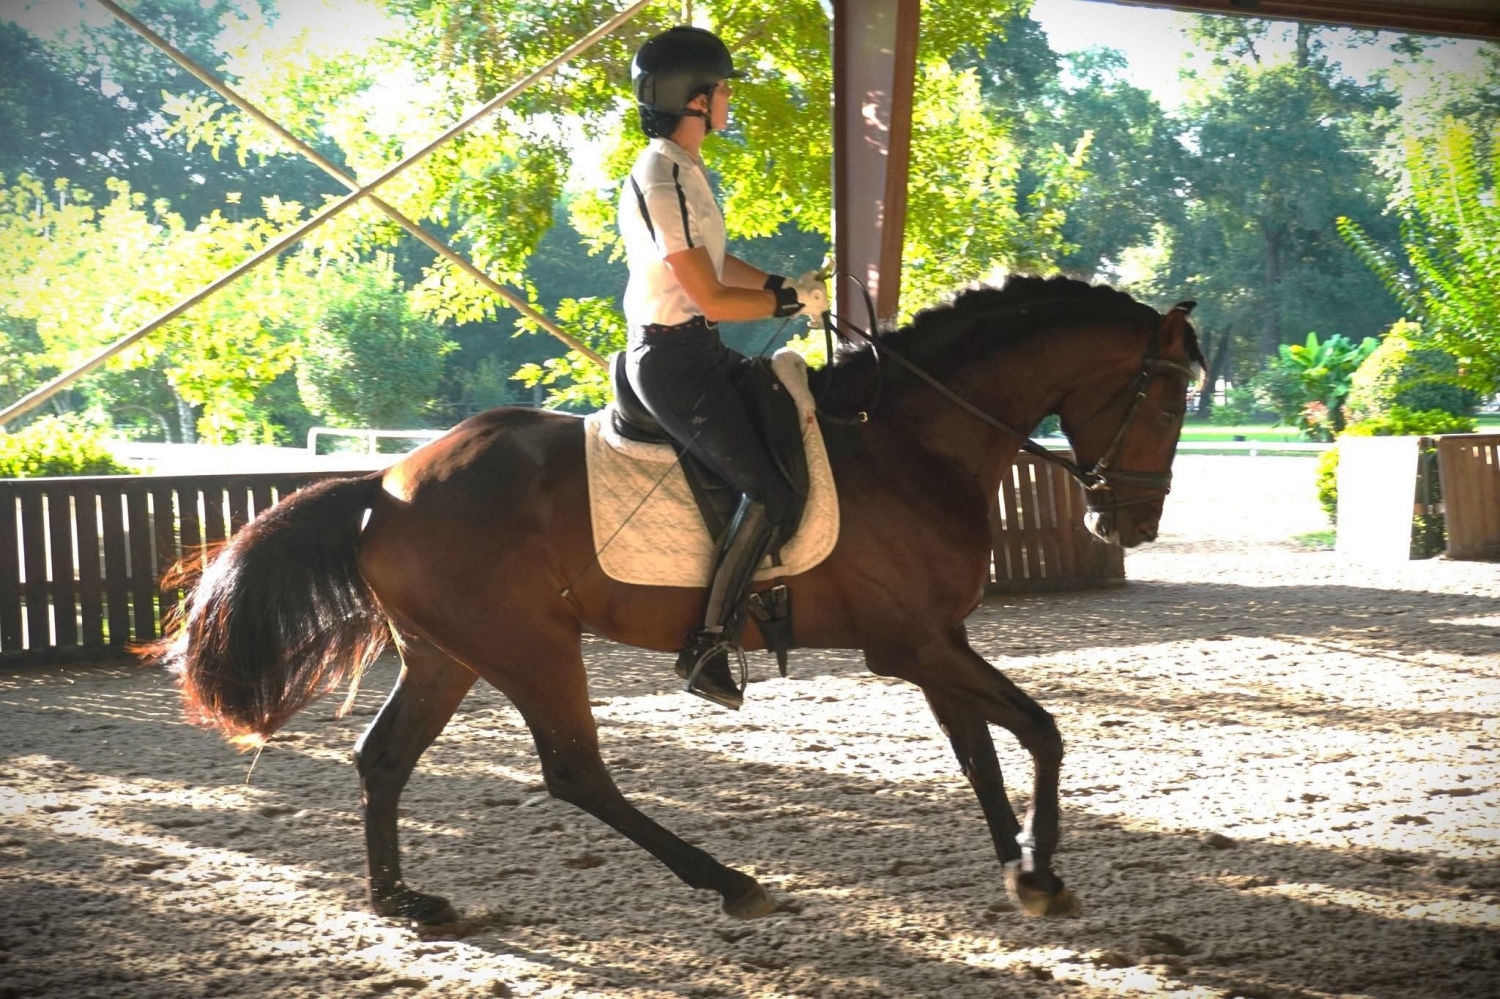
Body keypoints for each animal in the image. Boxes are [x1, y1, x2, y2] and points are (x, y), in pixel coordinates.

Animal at [162, 274, 1202, 925]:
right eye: (1167, 401)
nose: (1132, 522)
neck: (912, 437)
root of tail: (384, 484)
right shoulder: (913, 644)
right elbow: (1041, 730)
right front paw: (1042, 871)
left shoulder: (934, 640)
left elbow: (984, 750)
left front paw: (1021, 864)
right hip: (532, 648)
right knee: (574, 772)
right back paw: (730, 881)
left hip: (449, 653)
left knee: (384, 759)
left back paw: (405, 903)